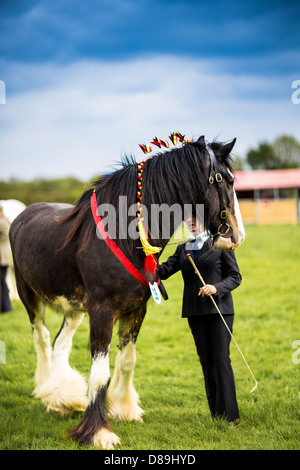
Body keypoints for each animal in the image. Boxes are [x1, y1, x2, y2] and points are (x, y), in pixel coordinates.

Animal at [8, 135, 244, 448]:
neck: (126, 238)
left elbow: (127, 360)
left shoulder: (136, 309)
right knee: (43, 339)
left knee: (61, 342)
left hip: (74, 307)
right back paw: (47, 392)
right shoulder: (102, 311)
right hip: (29, 296)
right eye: (227, 180)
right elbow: (100, 372)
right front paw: (98, 431)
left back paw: (63, 399)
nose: (237, 236)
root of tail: (24, 213)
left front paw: (125, 409)